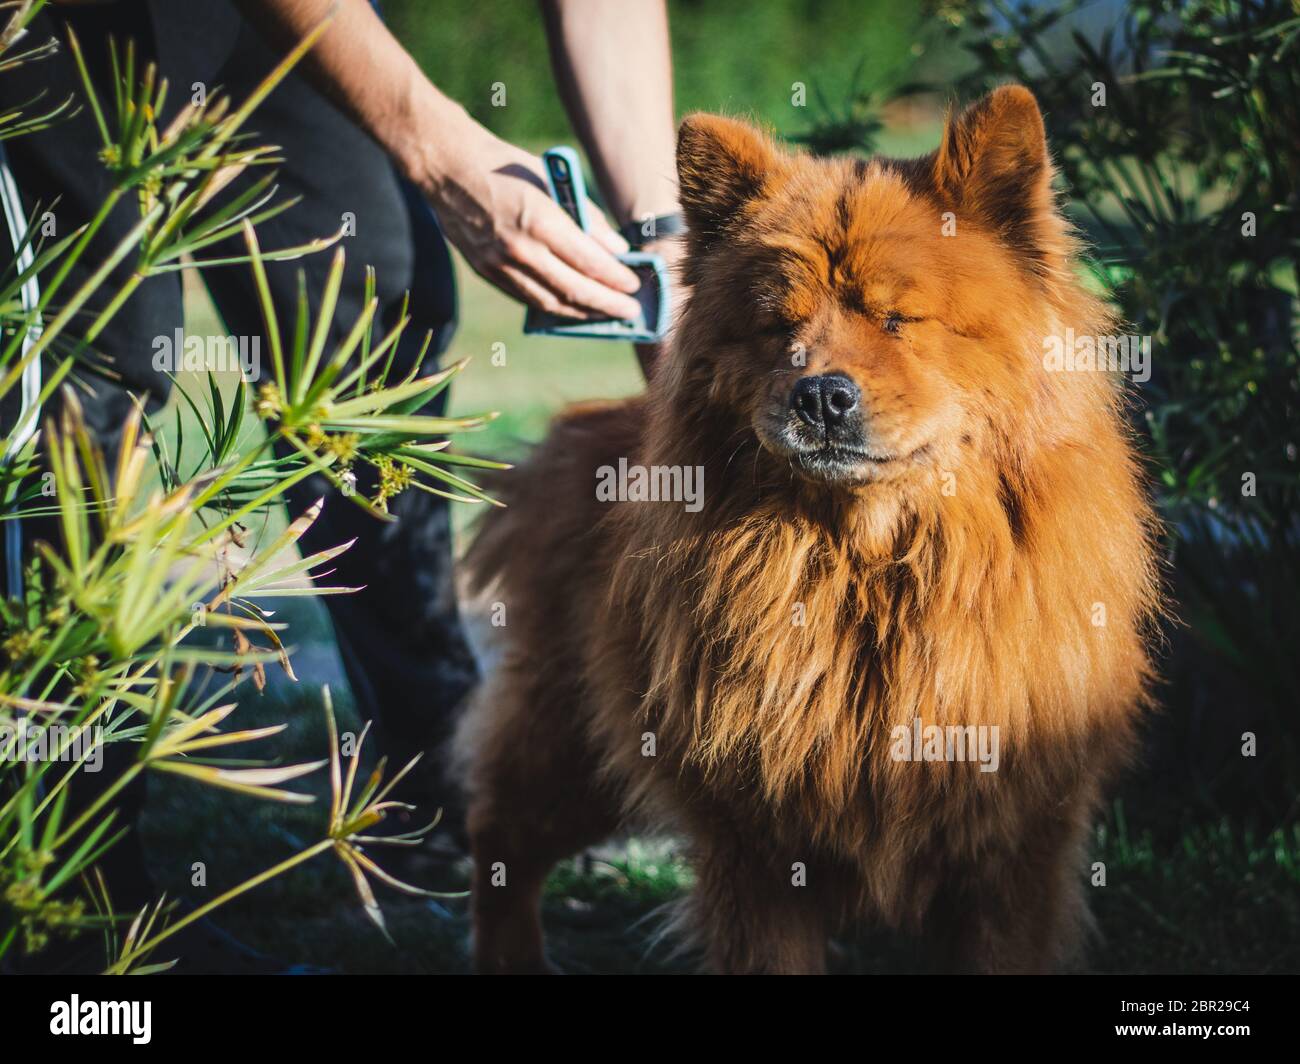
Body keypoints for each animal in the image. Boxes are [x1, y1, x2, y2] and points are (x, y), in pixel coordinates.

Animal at [454, 87, 1159, 972]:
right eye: (776, 328)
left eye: (898, 319)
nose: (821, 395)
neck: (870, 573)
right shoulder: (755, 856)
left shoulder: (1015, 853)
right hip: (571, 746)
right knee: (499, 836)